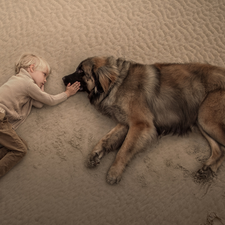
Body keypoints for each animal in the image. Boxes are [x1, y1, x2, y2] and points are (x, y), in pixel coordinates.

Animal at [62, 56, 225, 185]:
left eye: (81, 72)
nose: (63, 78)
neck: (118, 83)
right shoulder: (126, 123)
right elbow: (107, 139)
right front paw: (96, 153)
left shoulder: (140, 124)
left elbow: (124, 150)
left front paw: (114, 172)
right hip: (201, 120)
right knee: (221, 150)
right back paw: (208, 170)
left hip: (206, 117)